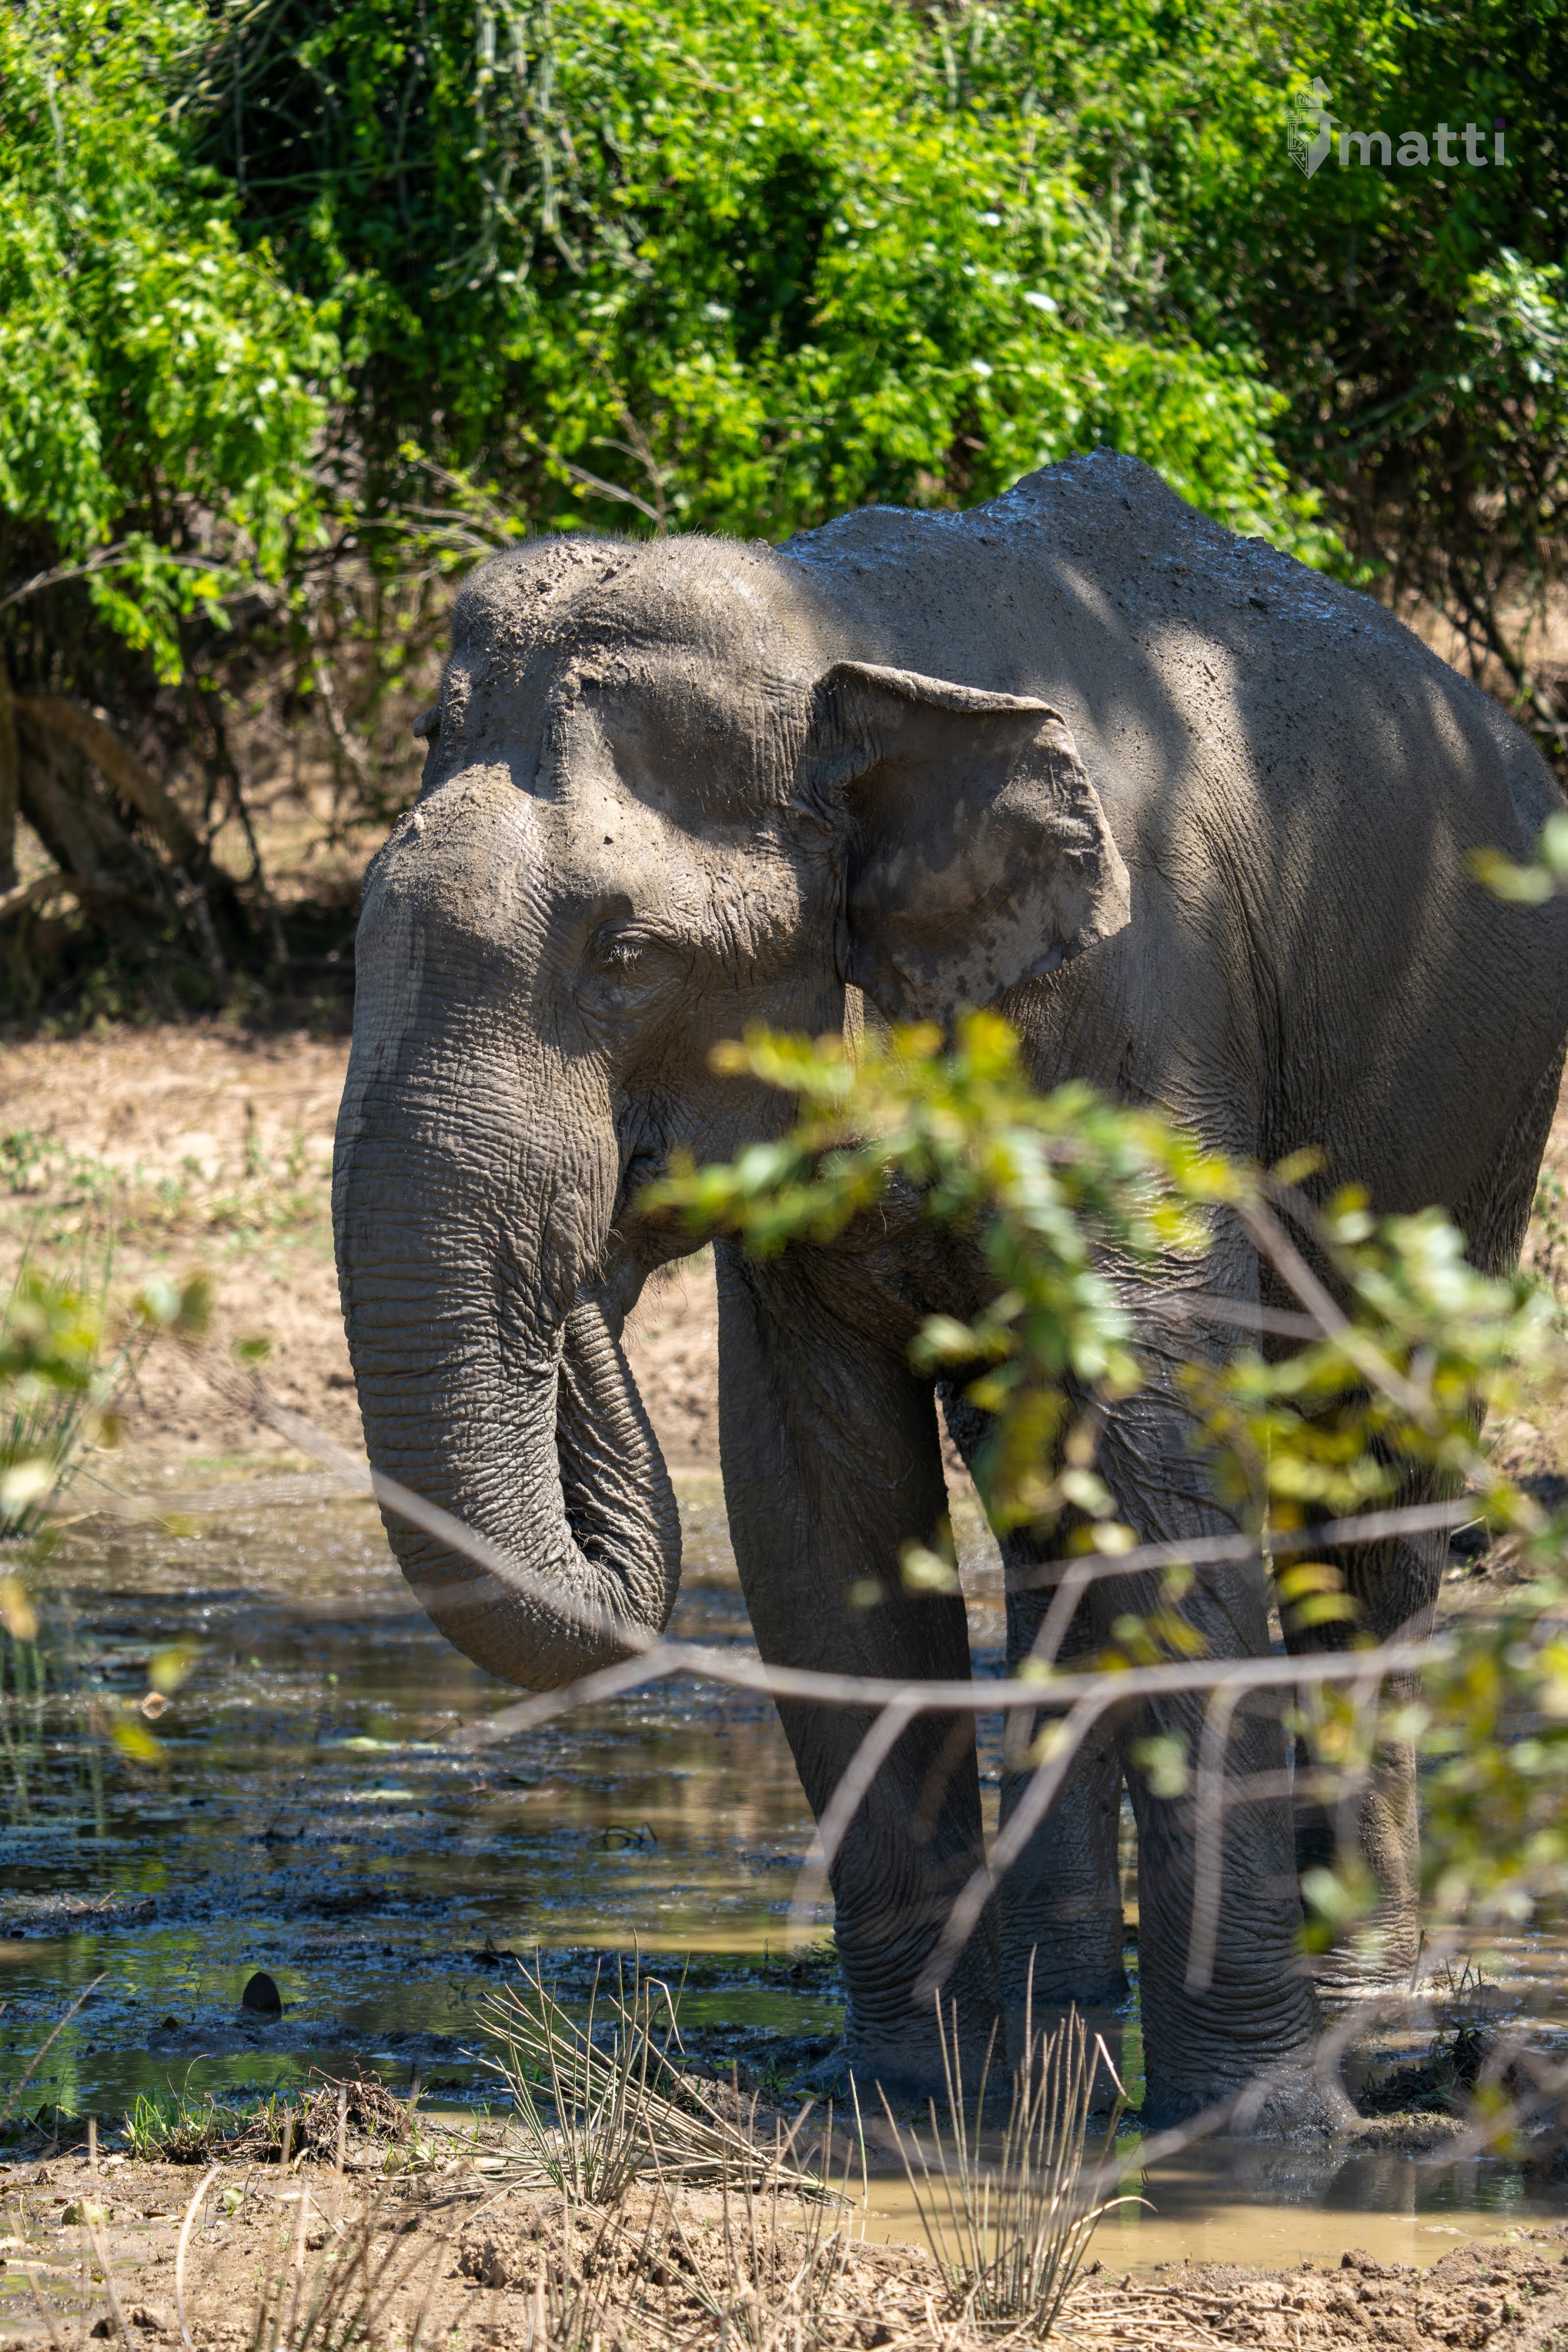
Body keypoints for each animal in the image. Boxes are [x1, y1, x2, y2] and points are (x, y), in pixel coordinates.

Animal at [333, 448, 1568, 2130]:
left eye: (627, 952)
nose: (603, 1234)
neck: (841, 637)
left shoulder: (1137, 1027)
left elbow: (1167, 1468)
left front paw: (1243, 2140)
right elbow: (816, 1506)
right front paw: (913, 2107)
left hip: (1475, 1105)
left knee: (1356, 1498)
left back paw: (1363, 2017)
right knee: (1050, 1516)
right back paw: (1063, 2033)